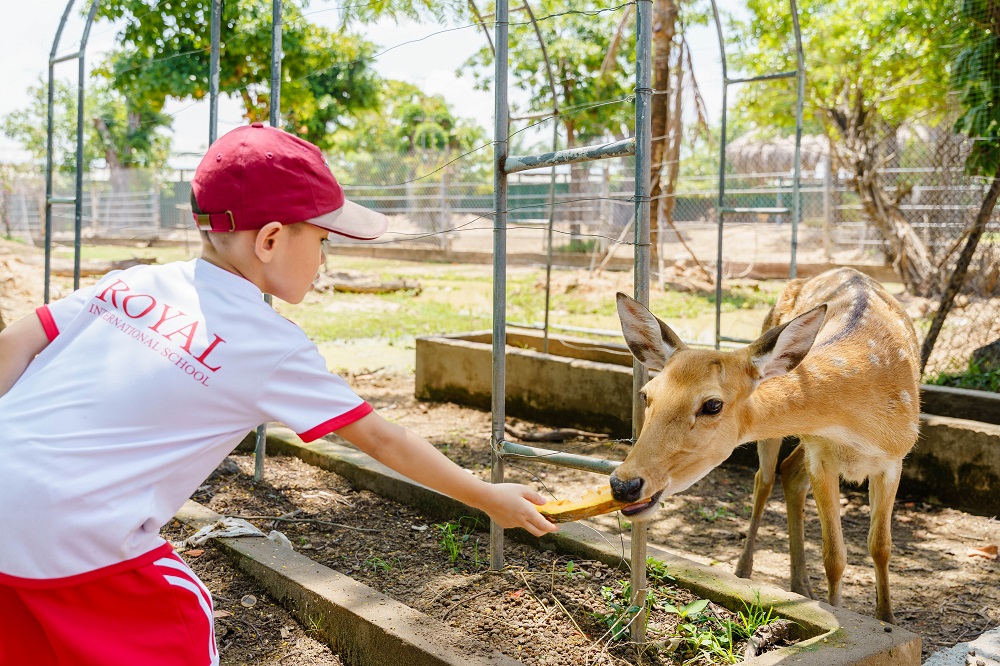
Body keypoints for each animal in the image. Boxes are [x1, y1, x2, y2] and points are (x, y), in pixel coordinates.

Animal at [604, 266, 916, 624]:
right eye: (646, 394)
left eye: (712, 405)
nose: (623, 484)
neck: (859, 425)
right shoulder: (821, 455)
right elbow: (834, 555)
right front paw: (838, 611)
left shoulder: (894, 459)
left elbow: (880, 546)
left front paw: (887, 618)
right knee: (766, 478)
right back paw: (750, 572)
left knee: (788, 473)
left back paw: (801, 587)